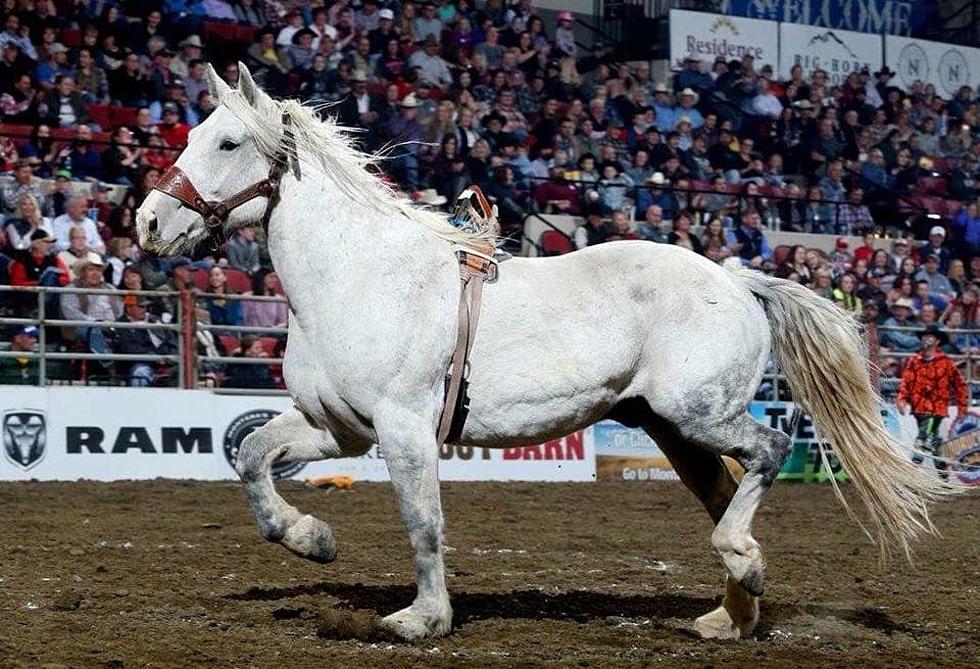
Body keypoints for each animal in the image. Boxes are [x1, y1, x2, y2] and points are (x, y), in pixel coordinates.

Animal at [138, 64, 956, 640]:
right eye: (190, 136)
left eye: (227, 142)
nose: (148, 223)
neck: (359, 275)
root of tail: (733, 276)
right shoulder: (335, 427)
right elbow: (252, 458)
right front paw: (312, 539)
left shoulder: (404, 430)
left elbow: (423, 523)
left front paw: (422, 619)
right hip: (672, 427)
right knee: (727, 488)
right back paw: (732, 612)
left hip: (700, 412)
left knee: (769, 450)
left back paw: (744, 570)